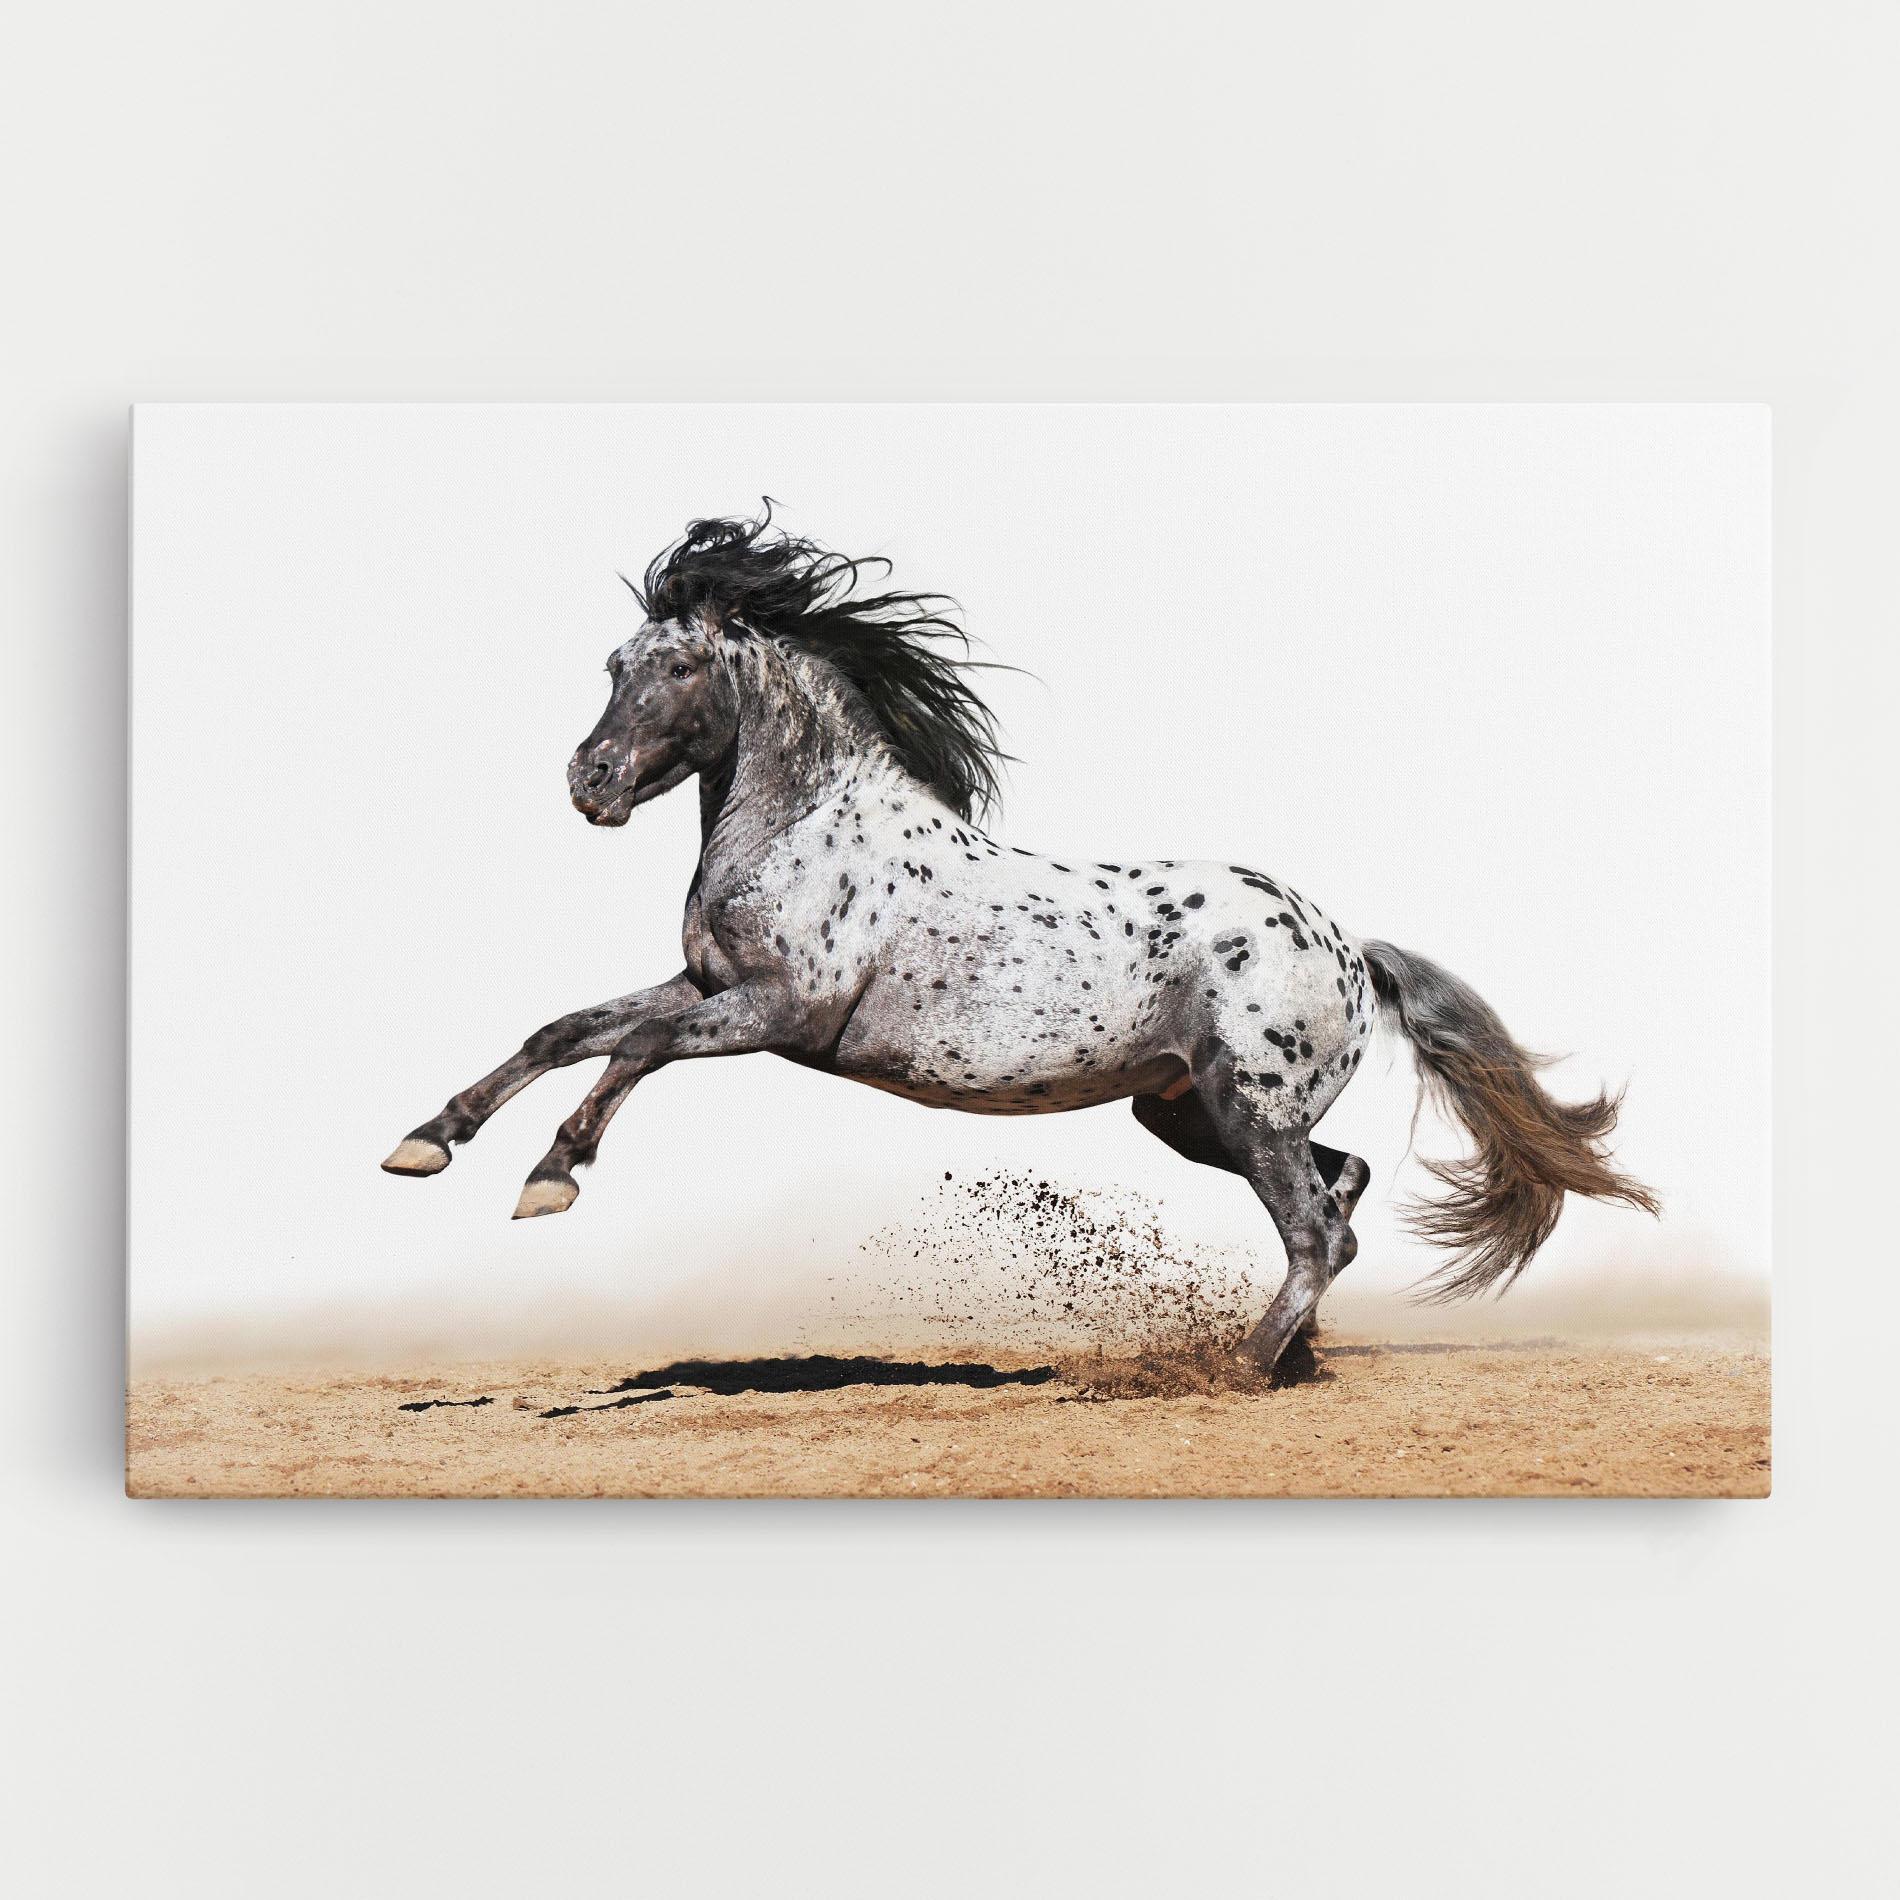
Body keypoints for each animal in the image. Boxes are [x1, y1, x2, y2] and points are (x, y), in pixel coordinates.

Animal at [382, 507, 1657, 1378]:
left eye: (683, 665)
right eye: (614, 666)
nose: (590, 784)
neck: (806, 826)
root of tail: (1347, 944)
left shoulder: (773, 1015)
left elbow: (634, 1051)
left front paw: (550, 1179)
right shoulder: (705, 983)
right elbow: (567, 1029)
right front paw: (426, 1143)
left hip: (1244, 1109)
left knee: (1312, 1229)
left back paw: (1236, 1370)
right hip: (1185, 1110)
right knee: (1337, 1195)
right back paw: (1291, 1355)